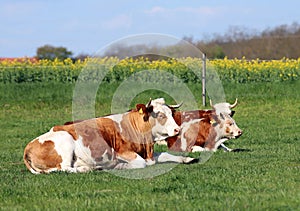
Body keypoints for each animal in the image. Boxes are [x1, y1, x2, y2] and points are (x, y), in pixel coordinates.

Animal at [23, 98, 195, 174]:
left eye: (171, 113)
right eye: (159, 115)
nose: (177, 129)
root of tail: (27, 148)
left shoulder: (148, 152)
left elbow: (165, 154)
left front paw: (187, 159)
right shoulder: (123, 152)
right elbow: (141, 164)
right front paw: (119, 166)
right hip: (65, 141)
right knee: (65, 168)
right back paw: (89, 168)